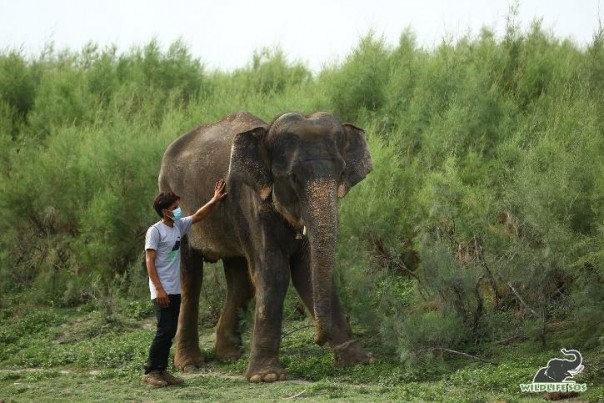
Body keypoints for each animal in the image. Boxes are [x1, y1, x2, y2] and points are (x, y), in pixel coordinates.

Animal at [157, 112, 372, 384]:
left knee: (240, 278)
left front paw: (359, 360)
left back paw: (229, 355)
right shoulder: (252, 203)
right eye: (293, 177)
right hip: (175, 203)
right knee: (190, 279)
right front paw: (267, 376)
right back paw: (189, 364)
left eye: (341, 172)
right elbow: (274, 272)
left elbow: (305, 272)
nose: (318, 339)